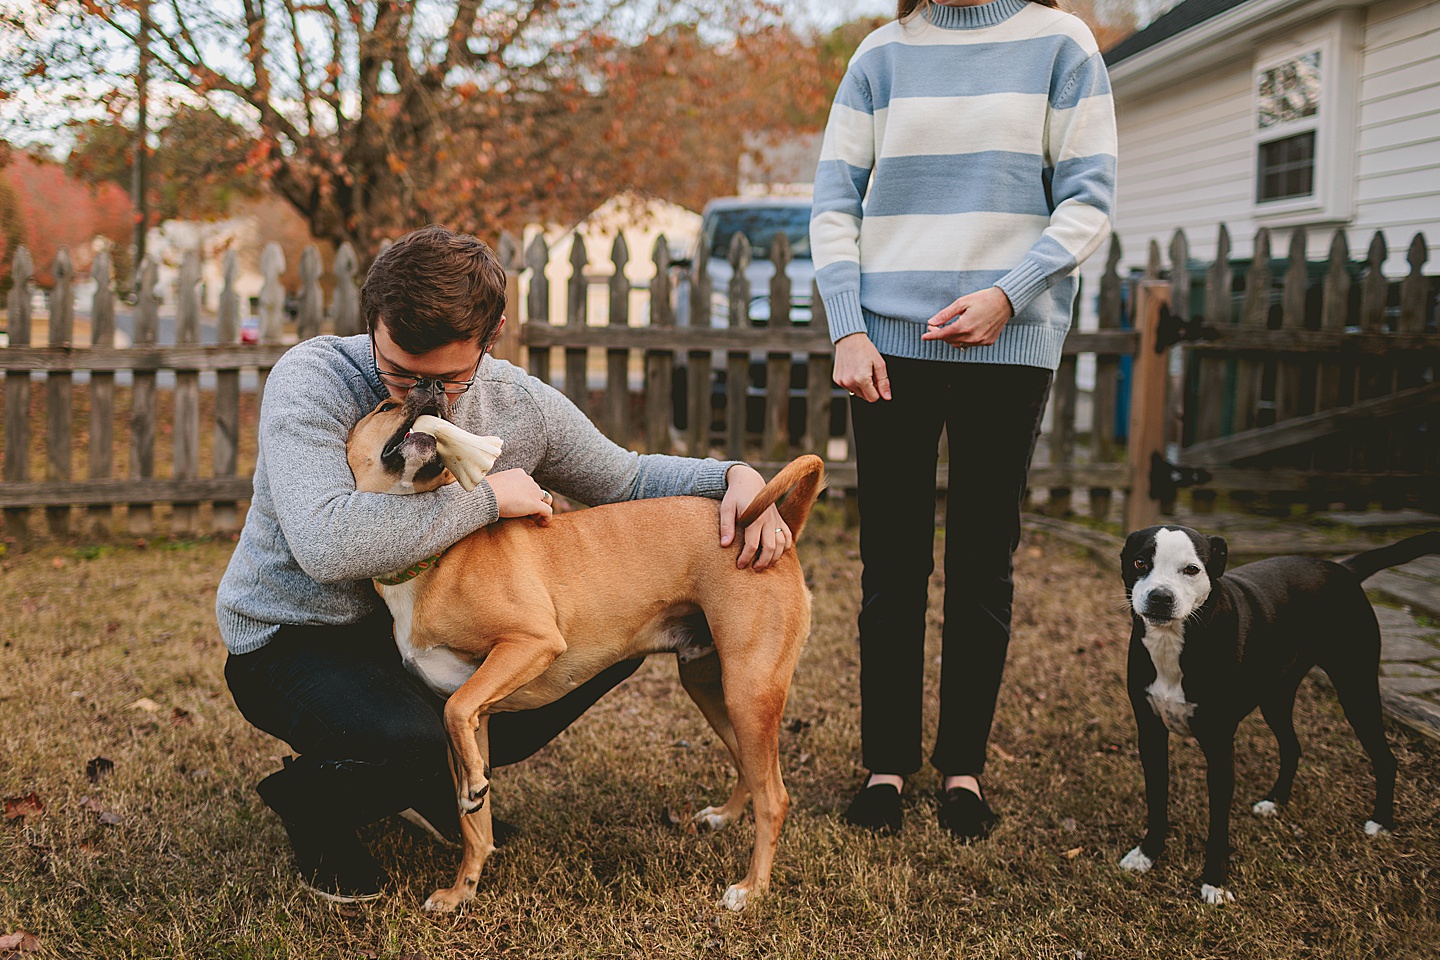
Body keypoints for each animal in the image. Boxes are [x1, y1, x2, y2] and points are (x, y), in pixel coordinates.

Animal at [344, 394, 829, 915]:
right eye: (386, 404)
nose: (431, 392)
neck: (432, 559)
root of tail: (777, 527)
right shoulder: (476, 722)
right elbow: (474, 823)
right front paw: (462, 891)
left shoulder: (530, 644)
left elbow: (458, 711)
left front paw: (473, 800)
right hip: (714, 691)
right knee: (750, 770)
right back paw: (725, 816)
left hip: (748, 692)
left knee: (774, 796)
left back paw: (751, 888)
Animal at [1117, 529, 1434, 903]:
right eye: (1140, 562)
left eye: (1191, 569)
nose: (1160, 597)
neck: (1174, 643)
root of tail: (1342, 568)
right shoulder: (1151, 737)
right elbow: (1157, 803)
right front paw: (1147, 854)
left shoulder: (1220, 750)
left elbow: (1218, 825)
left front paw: (1214, 881)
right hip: (1276, 698)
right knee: (1293, 747)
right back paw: (1275, 801)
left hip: (1356, 690)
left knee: (1385, 758)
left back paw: (1381, 821)